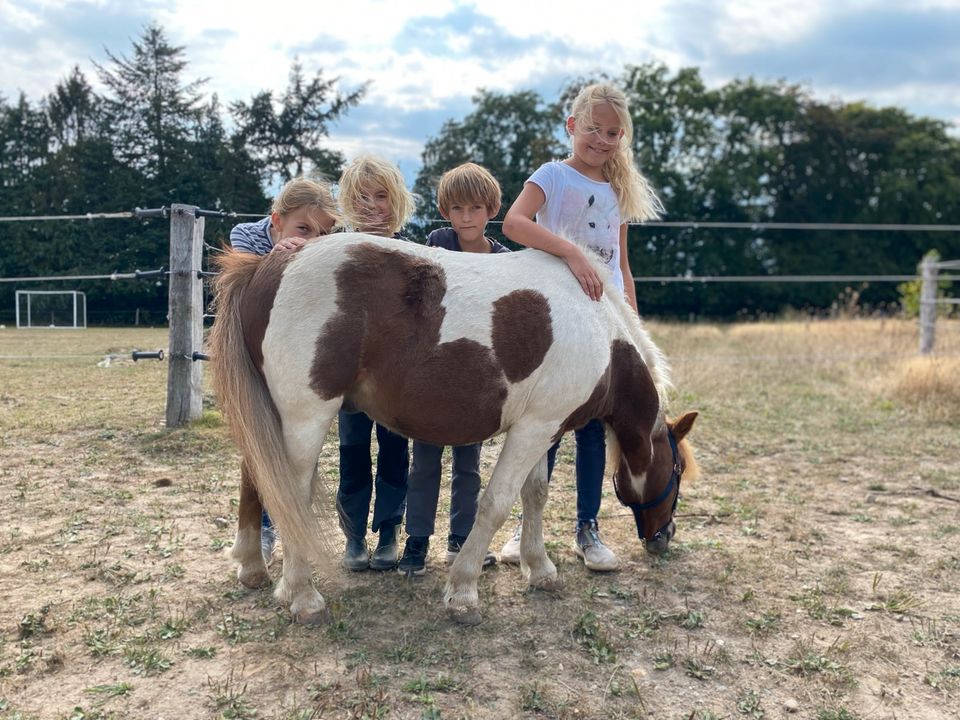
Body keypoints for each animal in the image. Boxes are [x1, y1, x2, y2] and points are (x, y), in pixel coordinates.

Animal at [212, 235, 696, 624]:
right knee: (288, 497)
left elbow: (534, 495)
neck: (599, 329)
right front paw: (463, 592)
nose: (664, 537)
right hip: (305, 418)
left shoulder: (543, 427)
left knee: (255, 478)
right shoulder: (534, 430)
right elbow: (497, 504)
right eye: (676, 473)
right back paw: (304, 597)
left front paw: (540, 570)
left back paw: (253, 568)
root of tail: (268, 267)